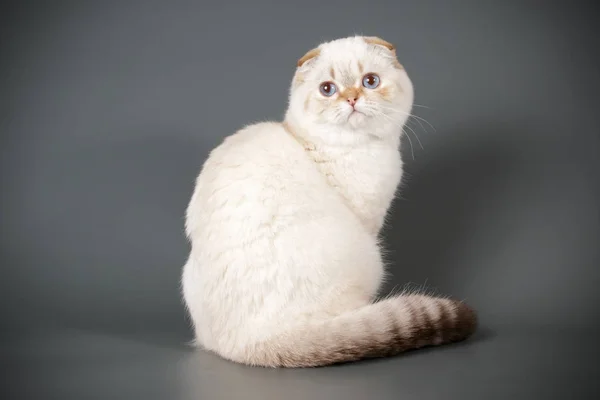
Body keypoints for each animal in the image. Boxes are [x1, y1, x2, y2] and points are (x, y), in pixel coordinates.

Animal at [180, 36, 476, 368]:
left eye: (370, 81)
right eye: (328, 89)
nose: (351, 99)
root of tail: (249, 344)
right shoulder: (368, 219)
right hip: (369, 255)